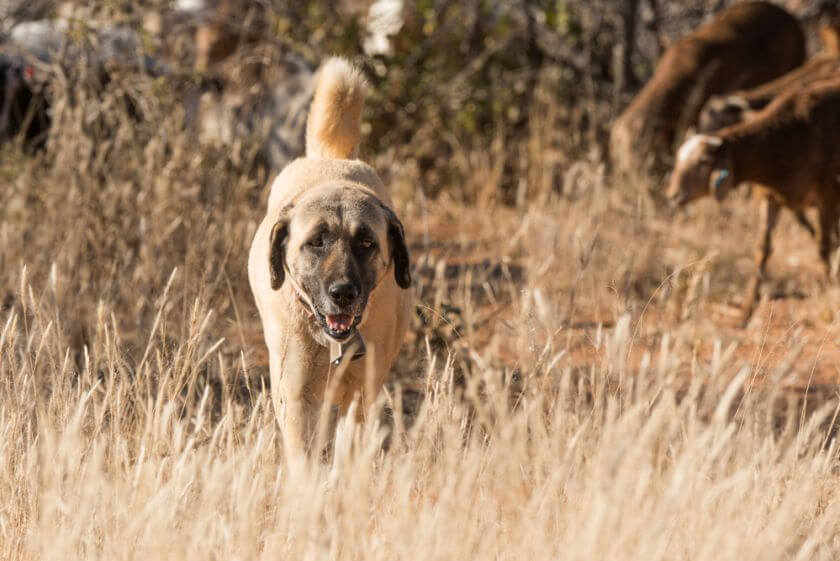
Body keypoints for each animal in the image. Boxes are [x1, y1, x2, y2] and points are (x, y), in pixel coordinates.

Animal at [246, 57, 410, 456]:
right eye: (316, 242)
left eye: (366, 242)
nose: (343, 293)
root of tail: (330, 158)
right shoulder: (296, 398)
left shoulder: (360, 396)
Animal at [668, 81, 840, 322]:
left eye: (703, 162)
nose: (672, 195)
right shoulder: (769, 198)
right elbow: (762, 250)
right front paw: (746, 310)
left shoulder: (826, 196)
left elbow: (823, 246)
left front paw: (831, 289)